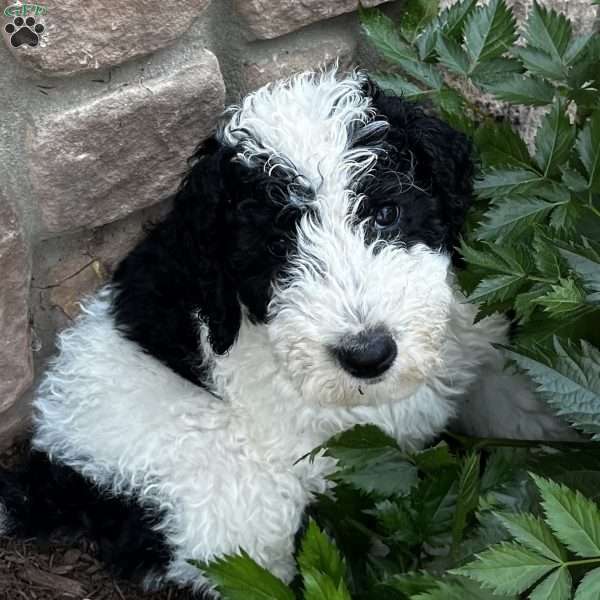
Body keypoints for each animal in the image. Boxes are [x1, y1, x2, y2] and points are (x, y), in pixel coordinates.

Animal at [0, 69, 572, 592]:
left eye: (386, 213)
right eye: (276, 247)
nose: (369, 354)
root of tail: (52, 472)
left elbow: (516, 402)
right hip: (224, 510)